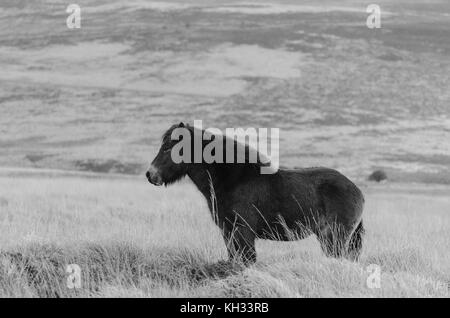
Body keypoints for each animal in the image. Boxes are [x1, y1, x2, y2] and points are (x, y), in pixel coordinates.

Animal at [146, 123, 364, 264]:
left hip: (334, 238)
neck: (232, 179)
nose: (150, 174)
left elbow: (247, 261)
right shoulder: (228, 232)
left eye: (168, 147)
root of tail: (357, 191)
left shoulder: (243, 233)